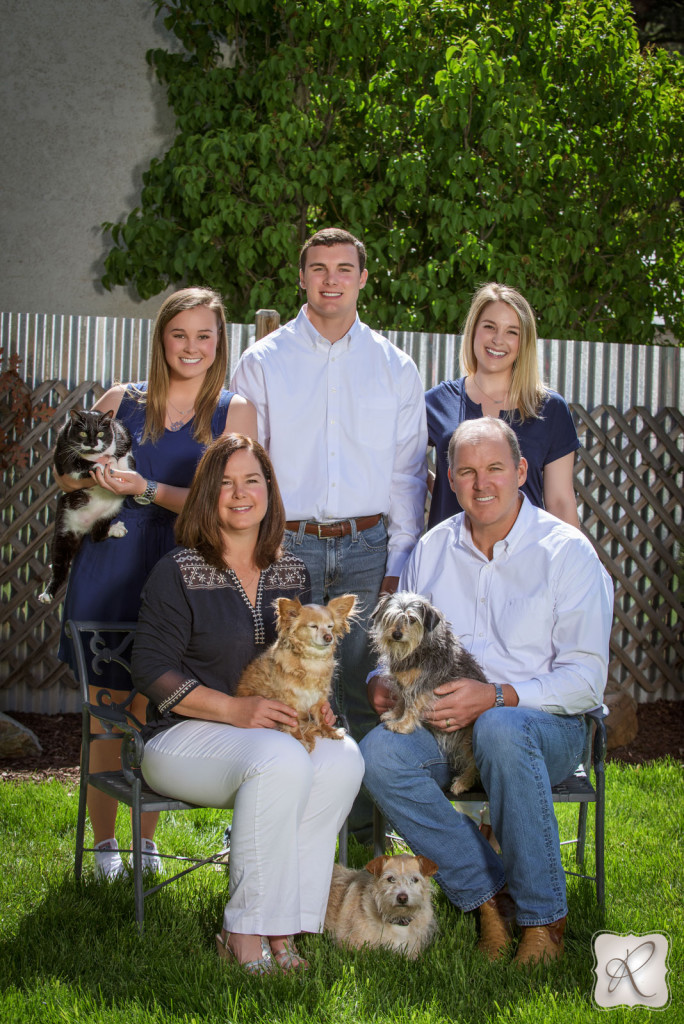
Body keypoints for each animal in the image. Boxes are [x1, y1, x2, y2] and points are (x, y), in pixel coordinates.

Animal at [38, 405, 136, 598]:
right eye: (83, 433)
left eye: (100, 433)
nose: (91, 443)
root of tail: (85, 526)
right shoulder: (64, 457)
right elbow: (80, 466)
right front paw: (99, 467)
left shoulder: (124, 437)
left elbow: (125, 458)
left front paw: (126, 473)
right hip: (64, 529)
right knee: (60, 563)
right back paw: (47, 594)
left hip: (110, 511)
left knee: (97, 535)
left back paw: (115, 529)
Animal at [235, 593, 356, 753]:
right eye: (313, 626)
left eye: (330, 627)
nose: (328, 637)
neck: (312, 661)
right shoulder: (289, 703)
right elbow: (293, 724)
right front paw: (300, 739)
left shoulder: (319, 697)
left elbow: (321, 716)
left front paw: (330, 730)